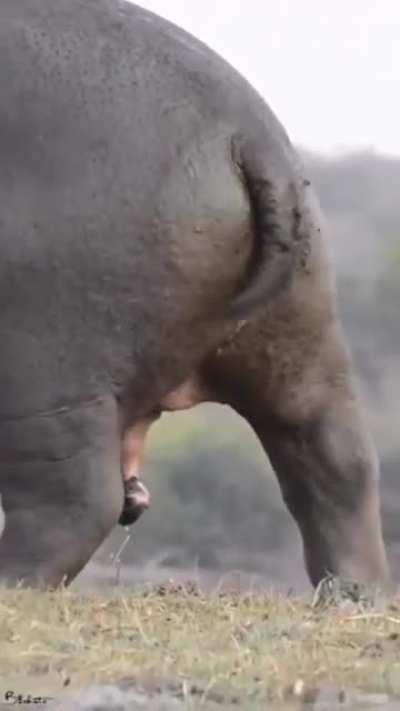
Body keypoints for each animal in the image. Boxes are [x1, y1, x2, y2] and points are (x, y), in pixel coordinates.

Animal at [0, 0, 389, 589]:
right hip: (299, 335)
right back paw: (349, 597)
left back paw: (11, 586)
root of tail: (245, 132)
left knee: (71, 499)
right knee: (336, 459)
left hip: (41, 360)